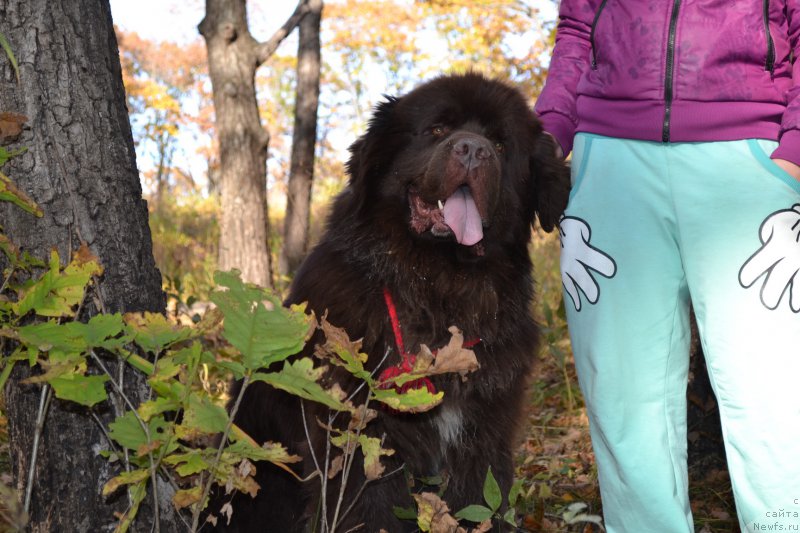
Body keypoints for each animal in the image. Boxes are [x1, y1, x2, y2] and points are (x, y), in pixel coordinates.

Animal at [214, 74, 568, 532]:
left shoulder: (484, 431)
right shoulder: (364, 437)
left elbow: (481, 500)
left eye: (501, 144)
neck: (442, 291)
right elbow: (370, 508)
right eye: (436, 129)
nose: (473, 149)